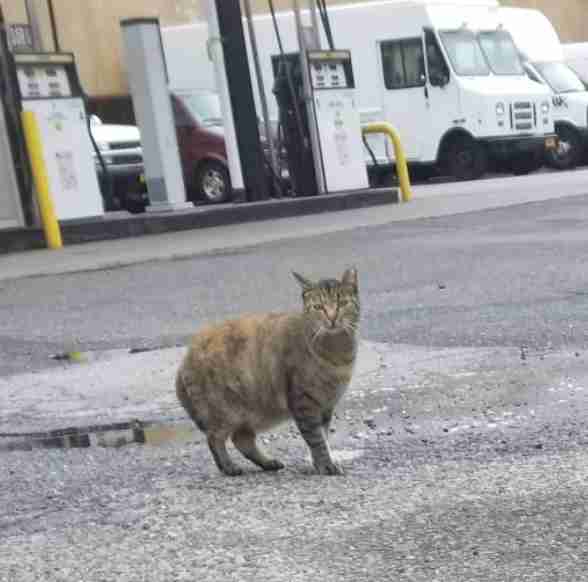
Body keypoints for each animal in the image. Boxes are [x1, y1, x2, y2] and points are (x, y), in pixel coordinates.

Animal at [175, 270, 360, 480]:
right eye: (318, 307)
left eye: (342, 304)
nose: (332, 317)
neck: (337, 353)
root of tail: (184, 361)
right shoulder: (304, 403)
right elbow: (317, 440)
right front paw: (326, 465)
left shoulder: (326, 406)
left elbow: (324, 438)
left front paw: (320, 462)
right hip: (223, 412)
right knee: (214, 438)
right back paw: (229, 467)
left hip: (248, 414)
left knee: (242, 440)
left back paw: (267, 462)